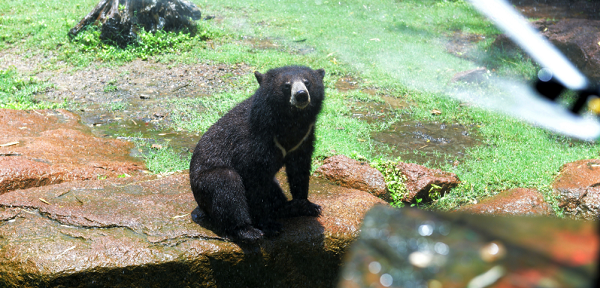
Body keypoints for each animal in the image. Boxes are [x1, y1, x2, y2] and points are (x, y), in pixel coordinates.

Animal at [190, 66, 326, 243]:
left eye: (307, 82)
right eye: (286, 86)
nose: (301, 95)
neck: (290, 121)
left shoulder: (304, 138)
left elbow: (299, 169)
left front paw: (308, 206)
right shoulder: (255, 140)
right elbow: (253, 179)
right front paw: (269, 226)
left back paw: (288, 207)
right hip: (205, 183)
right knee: (226, 186)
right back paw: (248, 231)